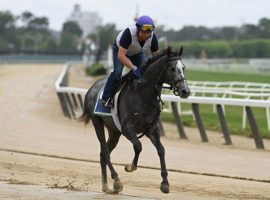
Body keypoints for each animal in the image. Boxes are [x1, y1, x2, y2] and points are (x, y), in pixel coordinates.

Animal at [79, 46, 191, 193]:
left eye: (183, 67)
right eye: (172, 68)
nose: (185, 91)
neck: (144, 94)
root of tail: (92, 88)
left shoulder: (151, 128)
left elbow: (161, 150)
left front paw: (165, 183)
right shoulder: (127, 128)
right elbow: (138, 145)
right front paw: (130, 167)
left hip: (114, 131)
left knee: (103, 153)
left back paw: (105, 186)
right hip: (97, 122)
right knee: (105, 152)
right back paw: (116, 181)